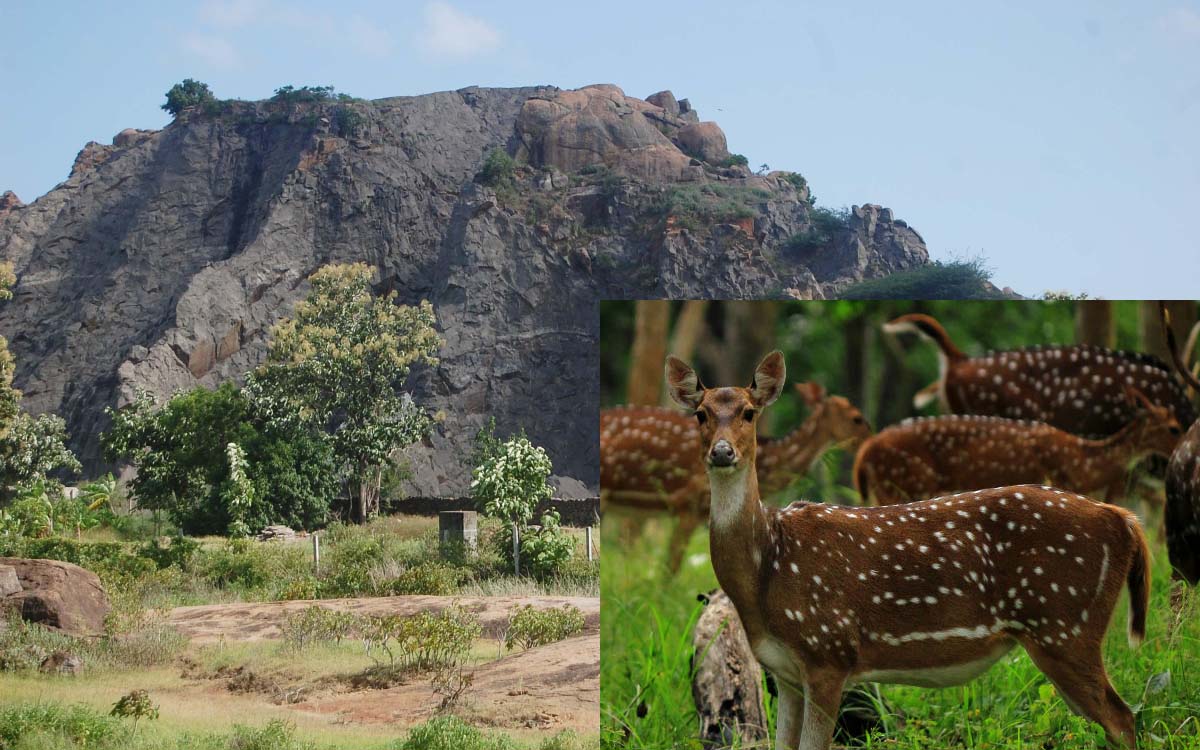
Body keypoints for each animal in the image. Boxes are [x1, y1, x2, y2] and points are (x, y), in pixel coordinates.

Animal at [672, 350, 1147, 748]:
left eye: (749, 413)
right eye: (701, 414)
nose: (722, 451)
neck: (766, 569)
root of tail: (1124, 520)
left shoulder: (828, 650)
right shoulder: (784, 671)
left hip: (1065, 625)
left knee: (1124, 719)